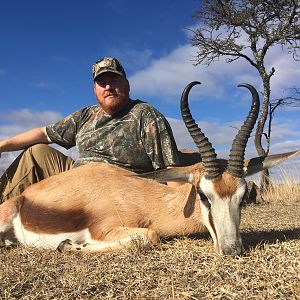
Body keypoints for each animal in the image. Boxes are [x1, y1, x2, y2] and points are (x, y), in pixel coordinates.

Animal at [0, 82, 298, 255]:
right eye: (203, 195)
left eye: (244, 195)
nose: (231, 249)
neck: (138, 195)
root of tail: (23, 197)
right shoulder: (106, 229)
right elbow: (150, 236)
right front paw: (69, 246)